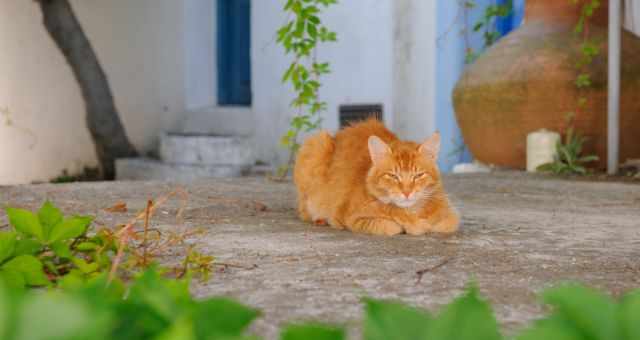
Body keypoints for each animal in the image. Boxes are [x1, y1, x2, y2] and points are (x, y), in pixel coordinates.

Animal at [296, 119, 460, 236]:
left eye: (418, 175)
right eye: (393, 175)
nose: (406, 192)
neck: (411, 211)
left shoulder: (451, 215)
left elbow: (446, 224)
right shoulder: (350, 219)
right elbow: (391, 227)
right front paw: (407, 227)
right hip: (316, 145)